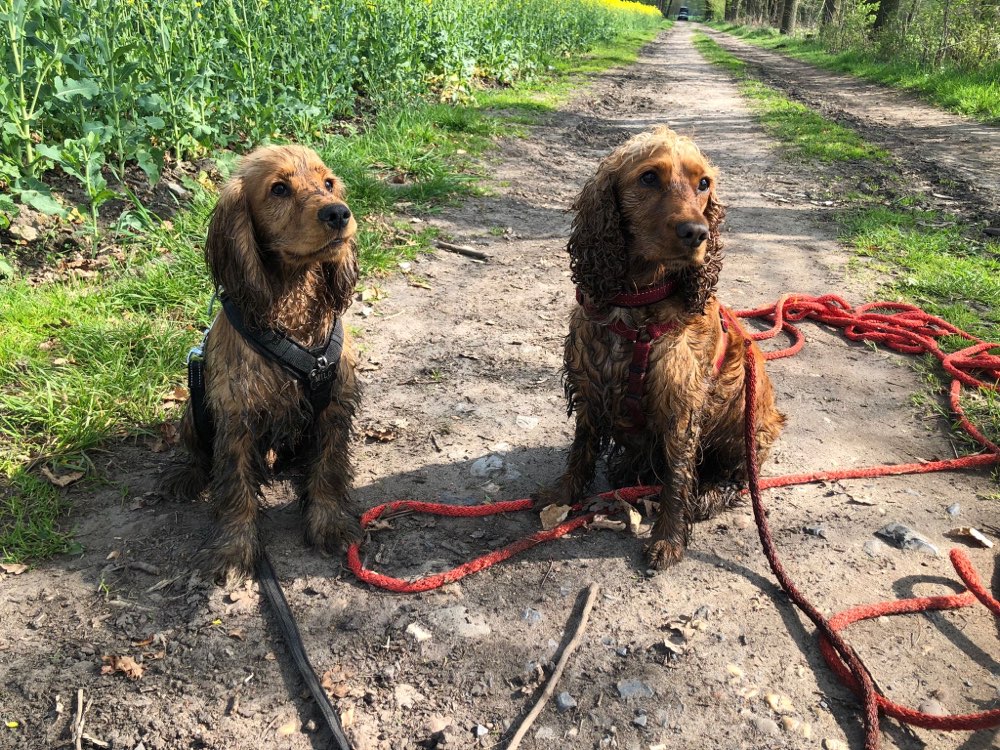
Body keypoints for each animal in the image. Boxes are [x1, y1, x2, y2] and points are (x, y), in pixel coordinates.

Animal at [170, 147, 362, 580]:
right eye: (279, 189)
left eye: (328, 183)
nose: (338, 213)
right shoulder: (236, 418)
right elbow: (235, 488)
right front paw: (234, 548)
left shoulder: (333, 405)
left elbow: (328, 469)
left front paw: (328, 523)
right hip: (193, 407)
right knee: (197, 453)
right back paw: (185, 478)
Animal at [536, 128, 784, 568]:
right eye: (649, 177)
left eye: (704, 184)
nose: (697, 233)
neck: (638, 305)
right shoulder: (590, 387)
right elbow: (581, 448)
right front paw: (563, 496)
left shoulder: (680, 407)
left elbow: (675, 477)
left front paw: (668, 537)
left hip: (750, 427)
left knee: (736, 478)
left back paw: (706, 496)